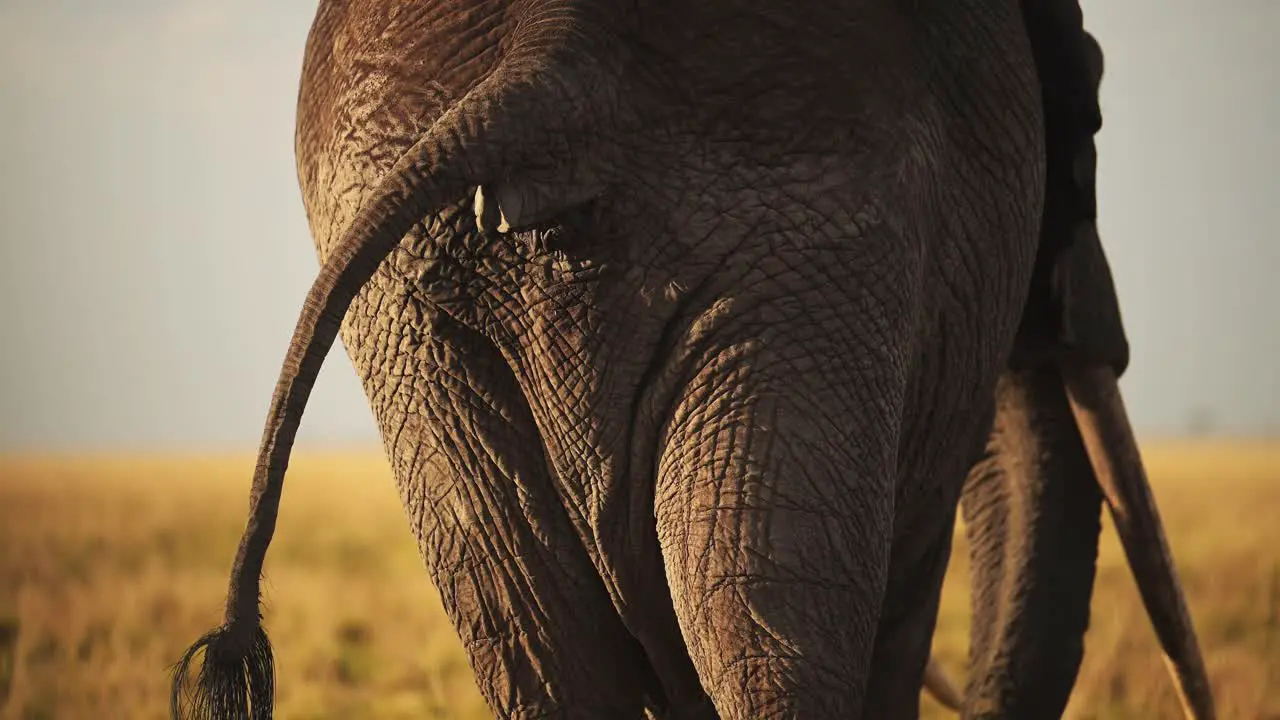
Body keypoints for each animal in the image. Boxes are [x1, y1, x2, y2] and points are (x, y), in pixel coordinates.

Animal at [165, 1, 1213, 717]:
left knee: (545, 644)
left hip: (417, 310)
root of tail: (552, 62)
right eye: (1088, 115)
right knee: (764, 621)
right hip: (806, 235)